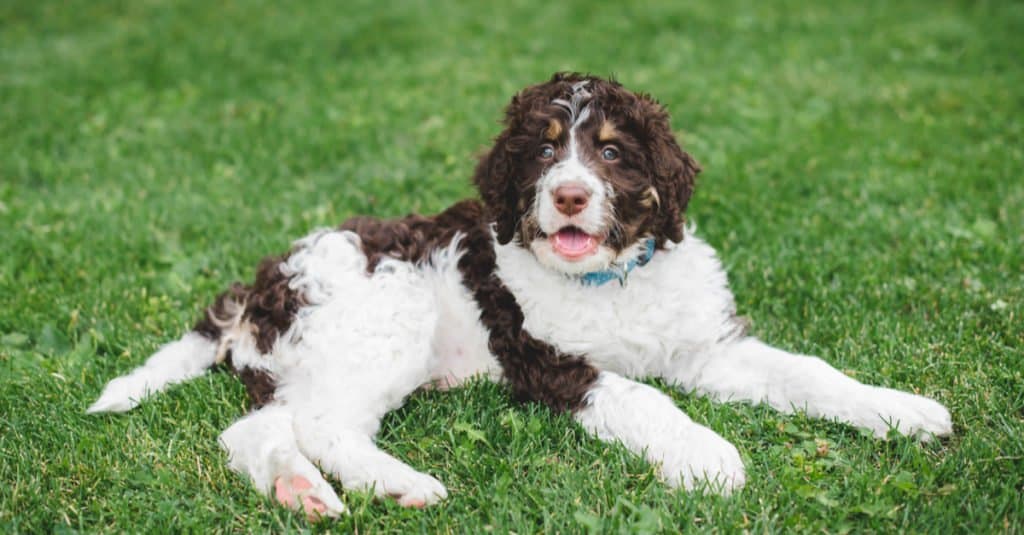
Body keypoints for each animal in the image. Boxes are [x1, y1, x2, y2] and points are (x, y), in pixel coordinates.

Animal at [90, 72, 950, 514]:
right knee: (325, 425)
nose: (569, 195)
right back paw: (400, 483)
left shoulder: (707, 346)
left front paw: (902, 411)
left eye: (611, 151)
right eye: (542, 151)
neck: (609, 279)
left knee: (257, 429)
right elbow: (646, 398)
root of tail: (264, 281)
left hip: (310, 357)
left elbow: (809, 372)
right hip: (382, 318)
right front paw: (710, 457)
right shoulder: (551, 360)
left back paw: (301, 491)